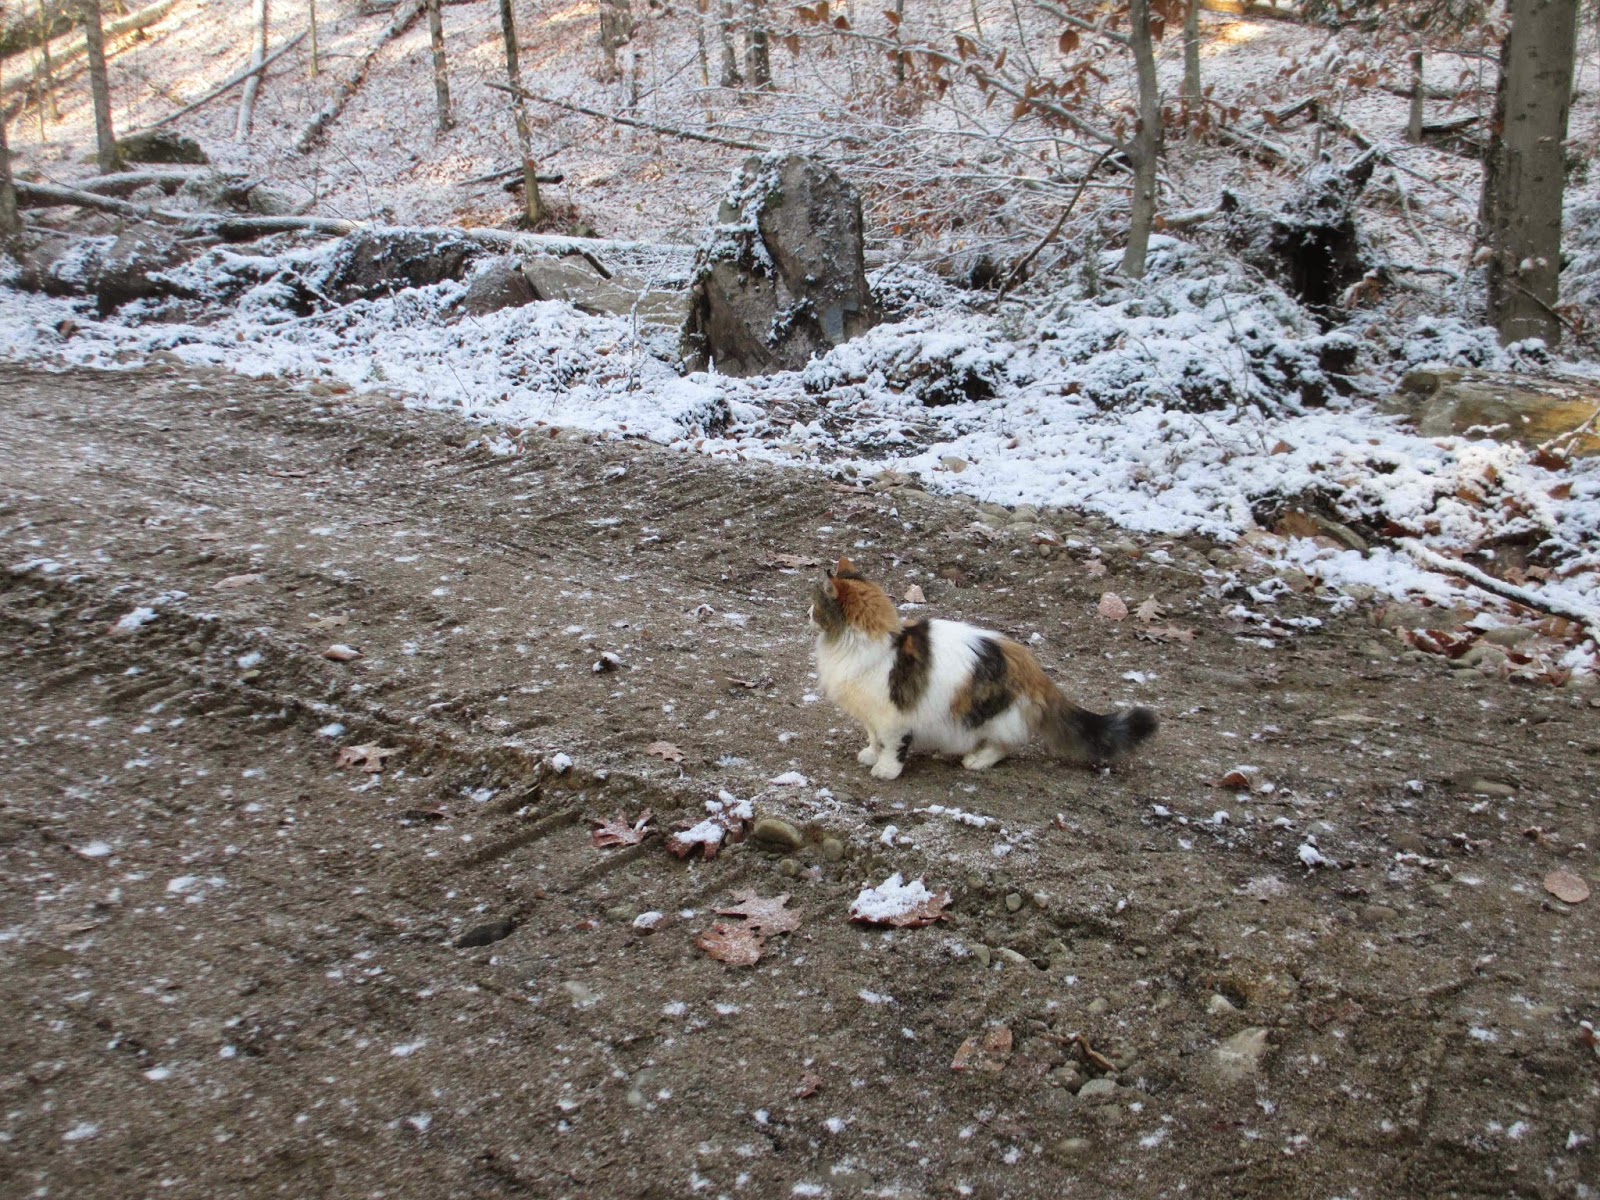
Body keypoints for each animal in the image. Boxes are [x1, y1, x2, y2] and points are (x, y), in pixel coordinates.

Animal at [810, 557, 1156, 780]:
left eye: (816, 605)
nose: (807, 611)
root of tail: (1034, 669)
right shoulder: (870, 714)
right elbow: (874, 738)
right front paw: (870, 753)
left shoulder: (894, 717)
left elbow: (892, 747)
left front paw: (885, 770)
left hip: (990, 715)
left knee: (1004, 745)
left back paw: (976, 760)